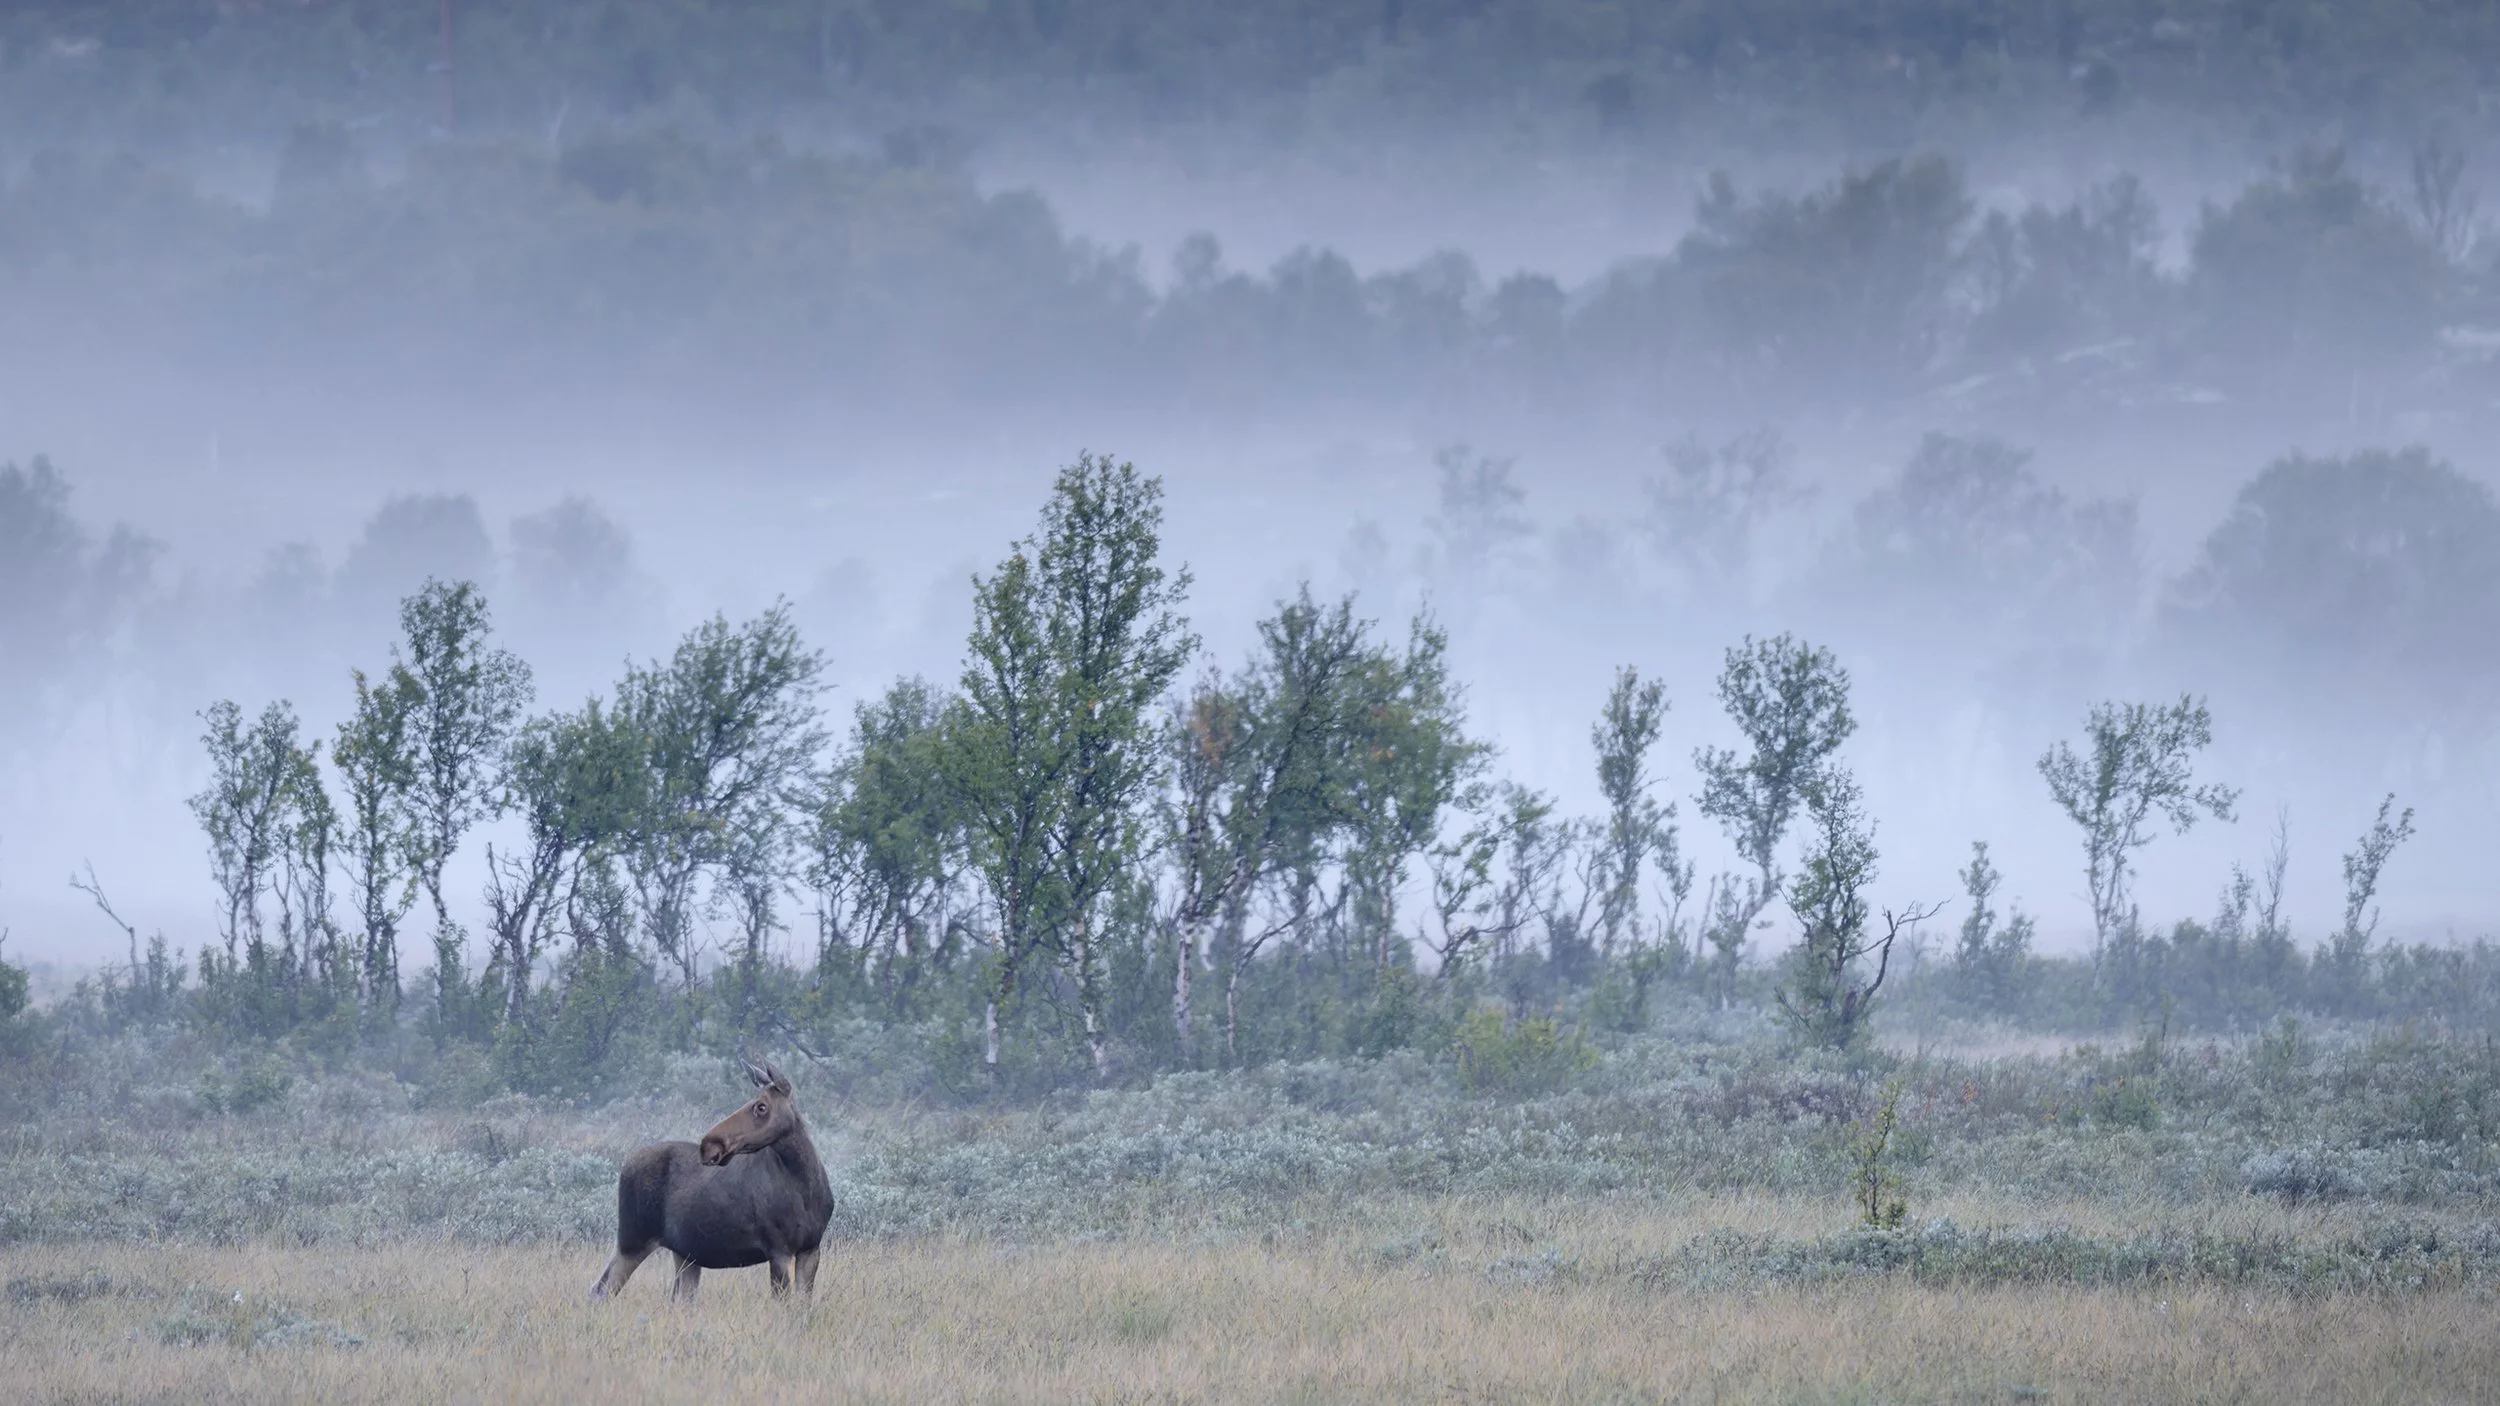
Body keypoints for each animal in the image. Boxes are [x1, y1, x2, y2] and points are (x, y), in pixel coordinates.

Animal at [589, 1058, 833, 1302]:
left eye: (761, 1106)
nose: (709, 1145)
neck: (804, 1185)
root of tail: (625, 1166)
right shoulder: (778, 1249)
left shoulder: (810, 1249)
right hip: (632, 1239)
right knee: (601, 1289)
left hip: (684, 1254)